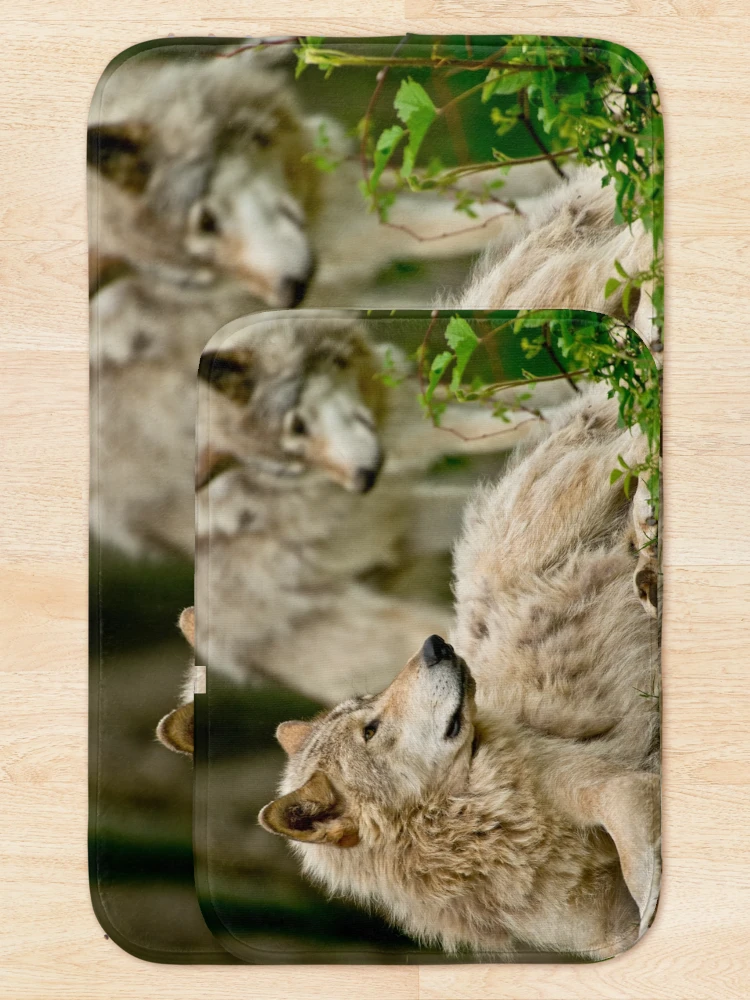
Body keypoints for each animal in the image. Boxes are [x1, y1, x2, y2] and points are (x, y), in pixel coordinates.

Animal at [258, 384, 660, 958]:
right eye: (372, 728)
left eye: (368, 711)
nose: (435, 646)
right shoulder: (601, 931)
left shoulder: (613, 786)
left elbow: (640, 863)